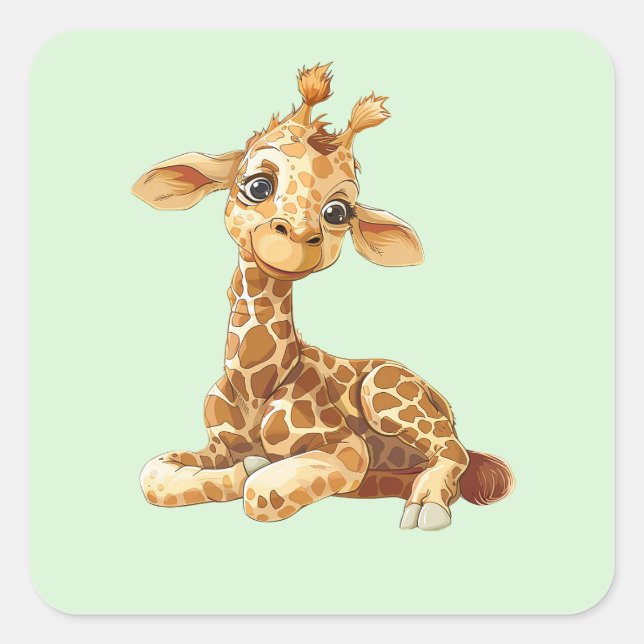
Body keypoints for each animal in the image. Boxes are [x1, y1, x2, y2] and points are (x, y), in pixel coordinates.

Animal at [132, 63, 515, 530]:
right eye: (258, 185)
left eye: (338, 213)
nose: (299, 239)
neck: (253, 385)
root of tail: (442, 401)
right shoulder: (215, 446)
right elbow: (154, 475)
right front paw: (246, 465)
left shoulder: (344, 444)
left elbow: (260, 493)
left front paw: (258, 472)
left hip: (385, 391)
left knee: (451, 451)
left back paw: (427, 506)